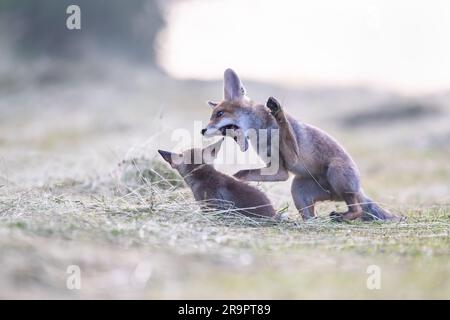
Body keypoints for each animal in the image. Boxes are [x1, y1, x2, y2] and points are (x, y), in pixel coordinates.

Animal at [202, 69, 400, 221]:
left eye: (219, 114)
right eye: (212, 115)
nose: (202, 130)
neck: (260, 132)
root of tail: (357, 188)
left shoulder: (292, 156)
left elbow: (285, 129)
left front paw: (278, 111)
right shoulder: (278, 170)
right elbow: (243, 174)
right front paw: (232, 180)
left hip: (337, 173)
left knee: (357, 209)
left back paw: (343, 216)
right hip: (298, 189)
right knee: (312, 217)